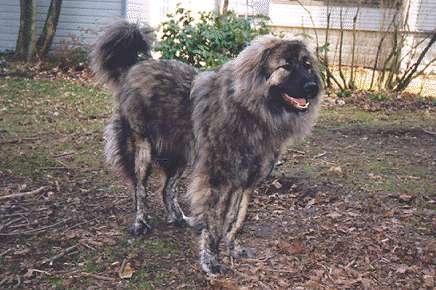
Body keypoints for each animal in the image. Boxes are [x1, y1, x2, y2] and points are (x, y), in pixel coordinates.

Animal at [91, 20, 324, 274]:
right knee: (140, 189)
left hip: (179, 156)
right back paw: (140, 223)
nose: (312, 87)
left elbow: (236, 220)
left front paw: (234, 249)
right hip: (142, 148)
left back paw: (179, 218)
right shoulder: (217, 180)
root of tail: (134, 66)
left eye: (307, 66)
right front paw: (210, 261)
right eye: (286, 66)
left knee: (167, 189)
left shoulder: (246, 182)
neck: (251, 110)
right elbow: (214, 225)